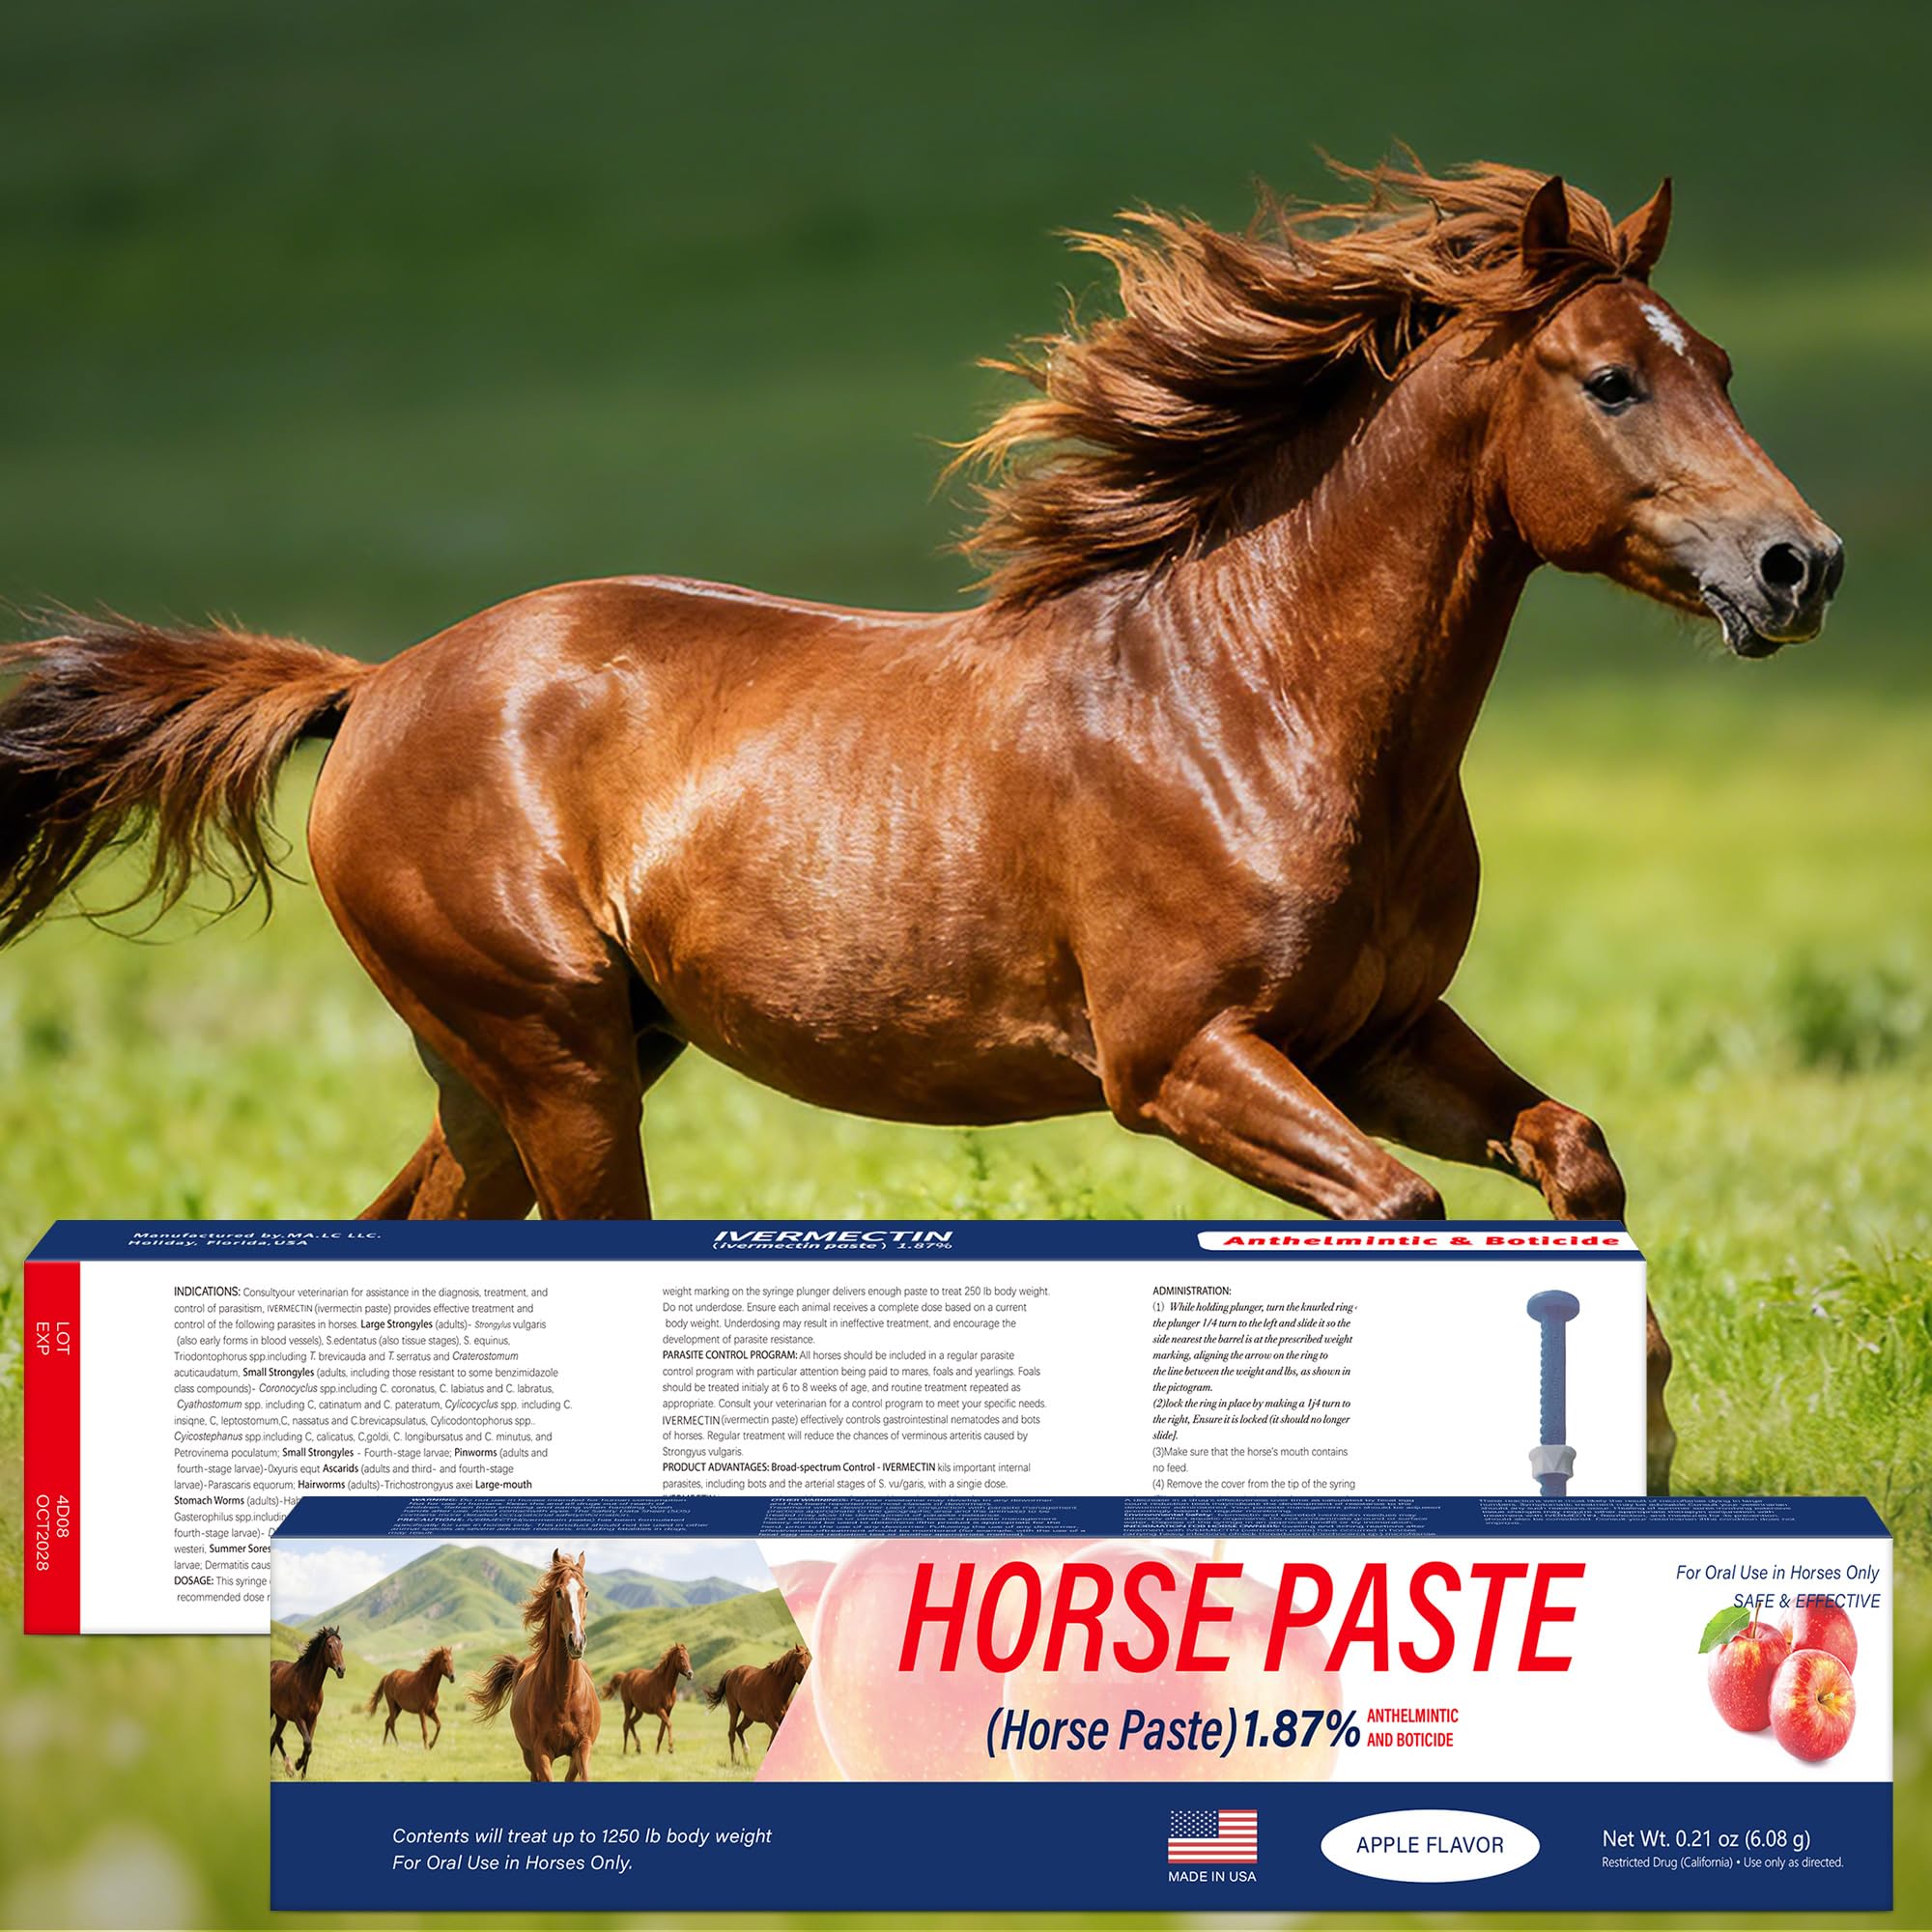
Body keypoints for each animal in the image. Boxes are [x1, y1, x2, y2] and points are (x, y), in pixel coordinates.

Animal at [0, 162, 1844, 1494]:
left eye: (1723, 364)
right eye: (1611, 381)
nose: (1800, 566)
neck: (1253, 703)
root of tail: (375, 684)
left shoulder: (1376, 1033)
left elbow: (1573, 1153)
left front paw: (1645, 1427)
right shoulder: (1180, 1057)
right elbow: (1397, 1214)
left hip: (529, 1065)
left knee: (409, 1239)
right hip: (559, 1057)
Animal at [269, 1625, 345, 1779]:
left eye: (341, 1646)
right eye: (329, 1646)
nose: (341, 1670)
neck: (308, 1684)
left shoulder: (312, 1719)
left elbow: (309, 1746)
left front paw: (302, 1773)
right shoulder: (299, 1719)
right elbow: (307, 1743)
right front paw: (298, 1764)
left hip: (281, 1717)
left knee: (275, 1738)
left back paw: (289, 1769)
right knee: (275, 1738)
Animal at [469, 1549, 601, 1781]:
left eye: (585, 1592)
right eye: (558, 1592)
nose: (576, 1642)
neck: (564, 1696)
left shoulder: (583, 1746)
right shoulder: (541, 1751)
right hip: (528, 1754)